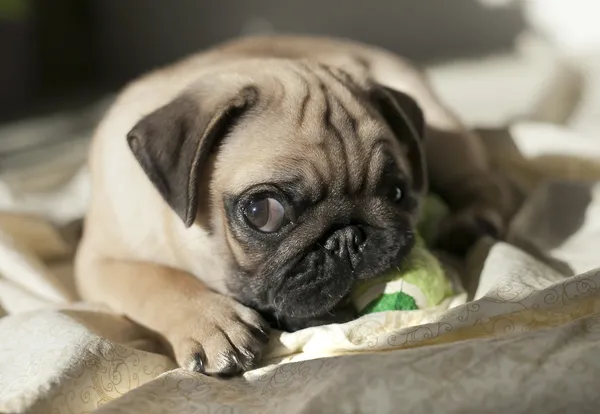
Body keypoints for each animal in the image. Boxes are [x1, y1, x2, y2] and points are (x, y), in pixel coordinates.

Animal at [75, 35, 516, 376]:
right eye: (263, 212)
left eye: (396, 193)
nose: (348, 237)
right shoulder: (97, 262)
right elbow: (154, 280)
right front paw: (213, 323)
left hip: (445, 137)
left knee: (484, 181)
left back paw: (470, 222)